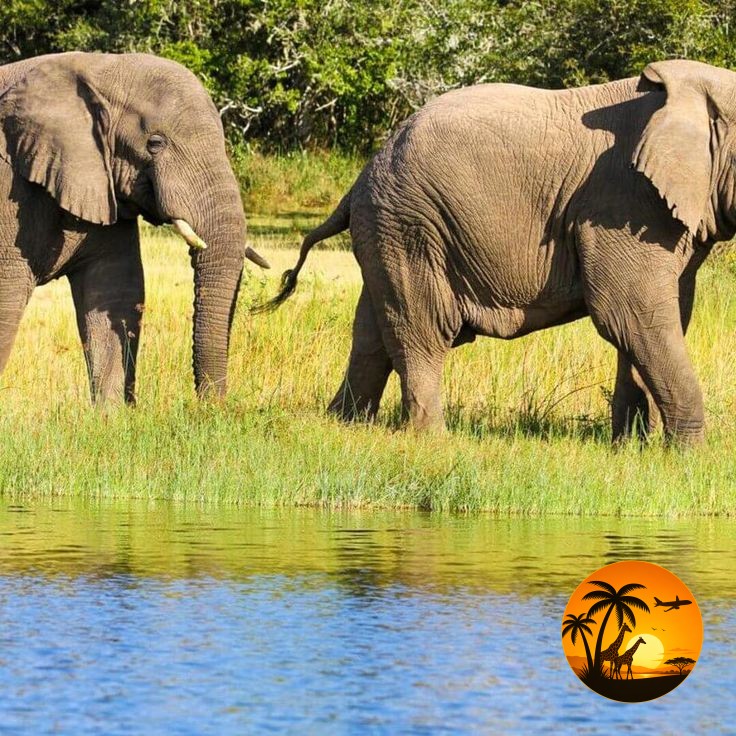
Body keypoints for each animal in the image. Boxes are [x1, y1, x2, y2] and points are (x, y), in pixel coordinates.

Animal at [0, 51, 268, 403]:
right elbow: (7, 295)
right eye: (155, 143)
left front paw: (111, 415)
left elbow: (115, 290)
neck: (97, 68)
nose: (212, 408)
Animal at [259, 59, 736, 445]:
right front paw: (688, 457)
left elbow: (657, 316)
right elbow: (628, 311)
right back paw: (432, 441)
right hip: (411, 224)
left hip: (388, 230)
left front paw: (631, 450)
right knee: (423, 329)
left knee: (373, 332)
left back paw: (344, 426)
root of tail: (359, 178)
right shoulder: (620, 202)